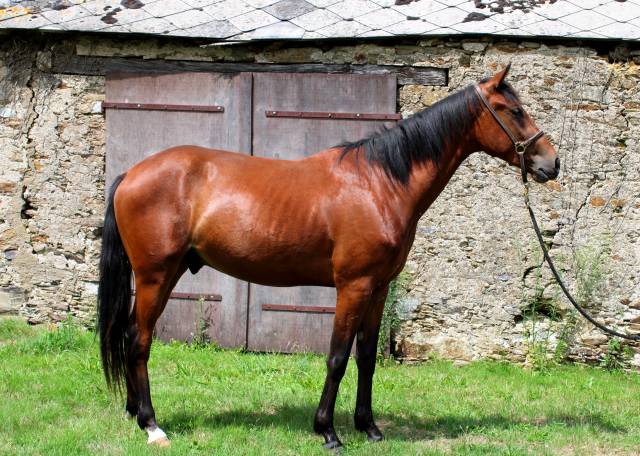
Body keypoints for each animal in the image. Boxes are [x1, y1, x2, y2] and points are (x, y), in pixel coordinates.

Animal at [97, 65, 560, 449]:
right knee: (139, 340)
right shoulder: (352, 287)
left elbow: (367, 358)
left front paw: (368, 427)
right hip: (156, 275)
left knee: (130, 335)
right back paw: (153, 425)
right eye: (512, 110)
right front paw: (328, 431)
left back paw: (135, 414)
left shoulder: (378, 288)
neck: (379, 183)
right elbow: (337, 357)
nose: (551, 163)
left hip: (166, 274)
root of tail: (131, 174)